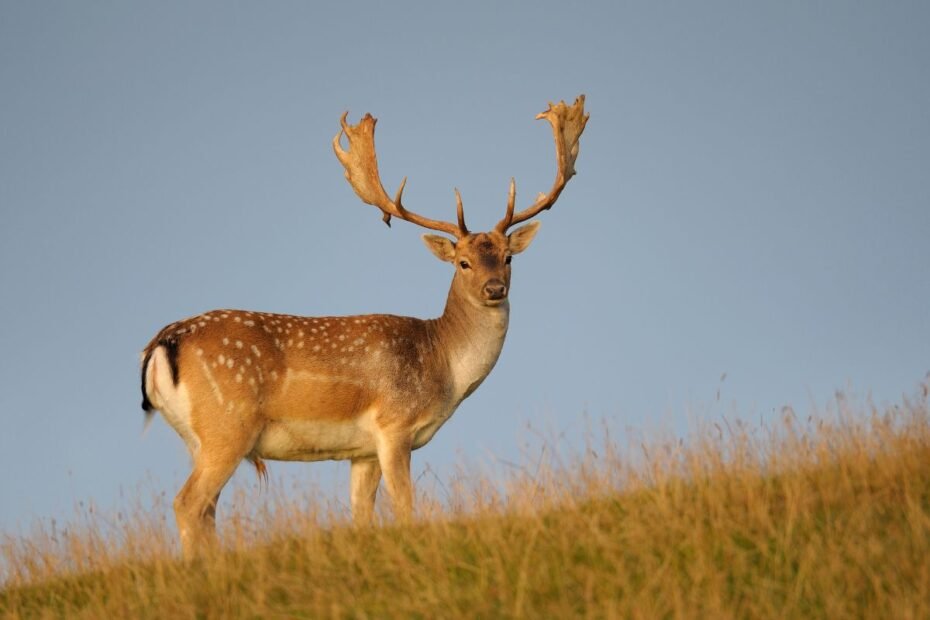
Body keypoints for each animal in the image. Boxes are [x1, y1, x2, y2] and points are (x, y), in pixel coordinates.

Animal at [138, 94, 588, 556]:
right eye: (463, 262)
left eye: (508, 257)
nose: (494, 288)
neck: (442, 365)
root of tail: (161, 343)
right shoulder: (394, 426)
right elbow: (405, 507)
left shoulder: (362, 452)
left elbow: (361, 517)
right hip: (227, 425)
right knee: (188, 503)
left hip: (197, 438)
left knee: (207, 510)